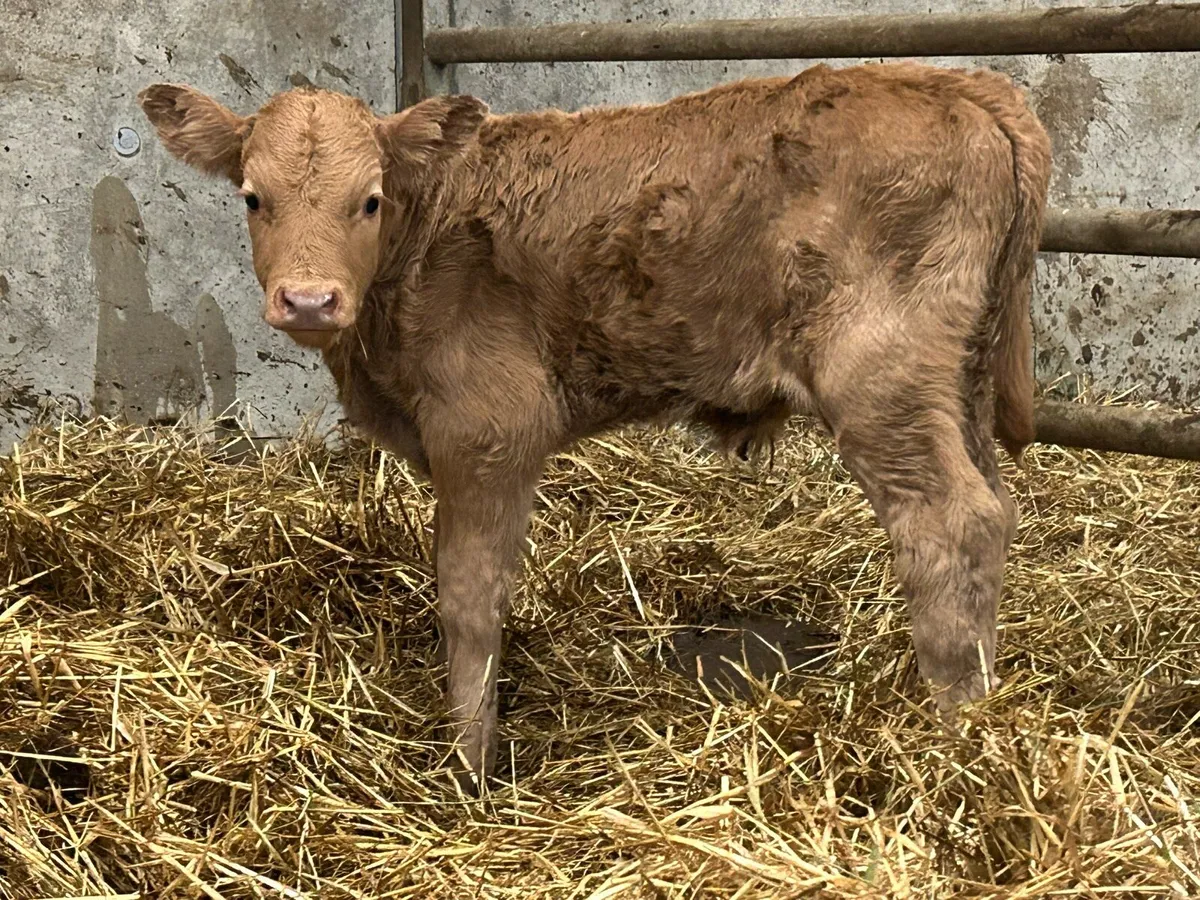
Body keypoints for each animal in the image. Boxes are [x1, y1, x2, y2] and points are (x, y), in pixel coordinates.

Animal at [138, 61, 1052, 791]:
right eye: (253, 198)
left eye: (369, 200)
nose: (308, 300)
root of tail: (957, 83)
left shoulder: (489, 429)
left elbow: (468, 598)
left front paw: (468, 767)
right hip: (957, 380)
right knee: (995, 512)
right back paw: (989, 709)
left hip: (881, 378)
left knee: (948, 522)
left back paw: (954, 738)